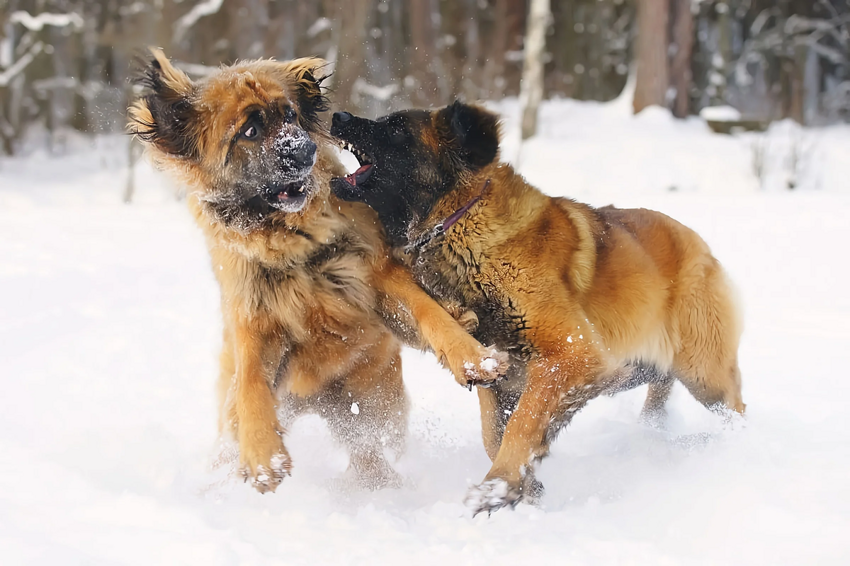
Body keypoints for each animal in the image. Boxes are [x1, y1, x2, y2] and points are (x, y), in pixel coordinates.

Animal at [128, 54, 500, 496]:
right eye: (250, 130)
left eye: (290, 115)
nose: (304, 150)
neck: (294, 246)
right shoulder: (254, 320)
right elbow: (251, 382)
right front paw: (264, 456)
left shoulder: (371, 275)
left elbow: (427, 311)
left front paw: (472, 358)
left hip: (377, 403)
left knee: (371, 446)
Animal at [328, 102, 744, 516]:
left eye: (397, 128)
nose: (337, 116)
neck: (461, 221)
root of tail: (695, 241)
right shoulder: (505, 379)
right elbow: (494, 433)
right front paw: (525, 486)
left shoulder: (571, 353)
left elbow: (523, 423)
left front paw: (497, 486)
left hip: (705, 375)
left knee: (734, 411)